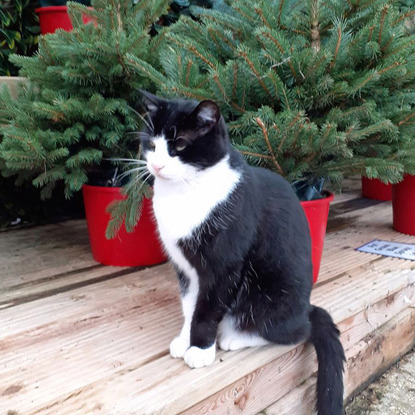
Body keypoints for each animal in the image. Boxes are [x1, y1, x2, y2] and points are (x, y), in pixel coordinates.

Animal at [139, 92, 344, 414]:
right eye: (151, 144)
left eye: (179, 145)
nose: (157, 166)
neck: (184, 192)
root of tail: (307, 306)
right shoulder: (185, 269)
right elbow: (189, 305)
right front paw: (185, 339)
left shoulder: (224, 266)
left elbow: (206, 309)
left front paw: (200, 348)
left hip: (272, 293)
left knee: (296, 330)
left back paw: (235, 337)